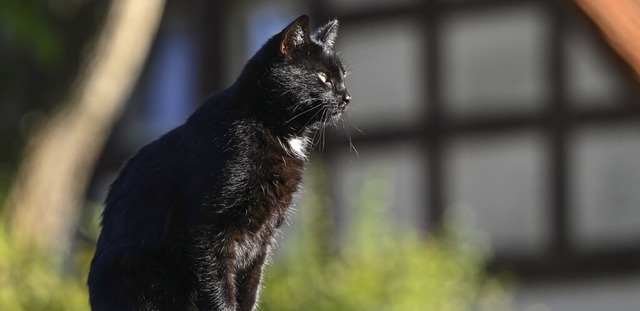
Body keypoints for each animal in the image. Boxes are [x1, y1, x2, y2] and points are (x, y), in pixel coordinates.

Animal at [87, 15, 350, 311]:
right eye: (323, 77)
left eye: (343, 77)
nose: (346, 97)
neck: (274, 128)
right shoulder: (210, 228)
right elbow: (218, 286)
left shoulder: (261, 240)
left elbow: (250, 289)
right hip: (136, 270)